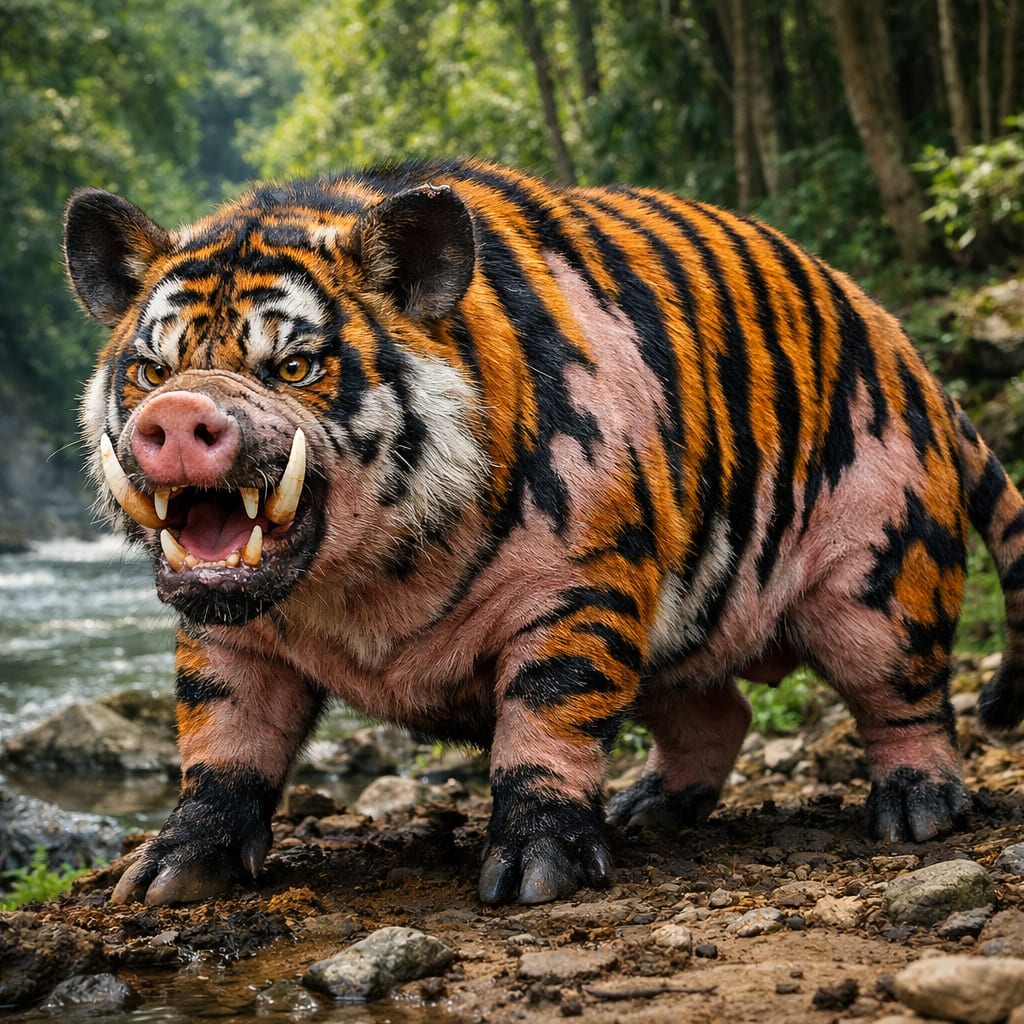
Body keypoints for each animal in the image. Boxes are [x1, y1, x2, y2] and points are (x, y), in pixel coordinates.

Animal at [63, 157, 1024, 907]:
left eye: (295, 366)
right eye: (150, 368)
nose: (176, 411)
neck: (367, 588)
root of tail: (909, 355)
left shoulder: (585, 580)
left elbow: (550, 715)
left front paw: (536, 875)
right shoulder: (226, 635)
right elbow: (221, 739)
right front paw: (165, 877)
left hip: (884, 565)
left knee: (903, 692)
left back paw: (915, 815)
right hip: (690, 624)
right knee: (718, 709)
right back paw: (648, 810)